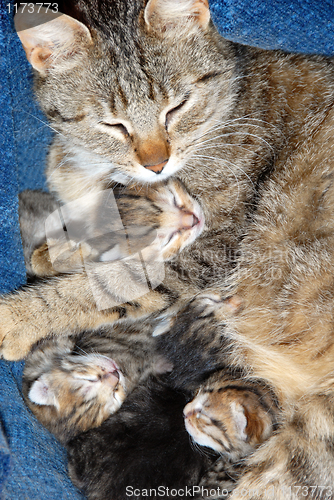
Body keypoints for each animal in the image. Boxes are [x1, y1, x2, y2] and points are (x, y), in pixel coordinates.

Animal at [3, 1, 334, 498]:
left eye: (176, 106)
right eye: (113, 124)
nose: (156, 164)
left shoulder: (207, 254)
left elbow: (100, 287)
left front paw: (18, 317)